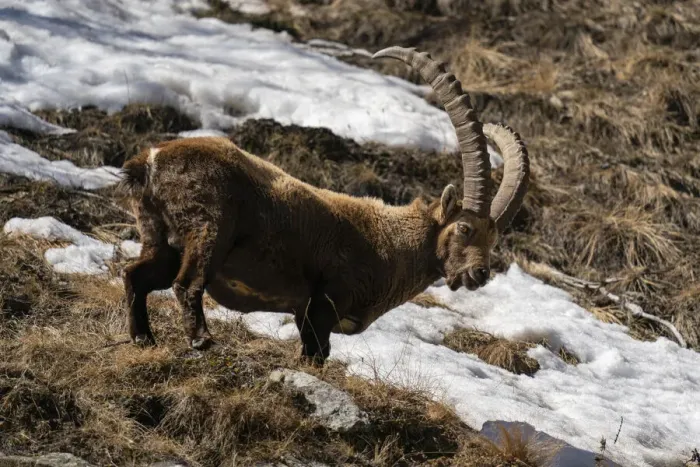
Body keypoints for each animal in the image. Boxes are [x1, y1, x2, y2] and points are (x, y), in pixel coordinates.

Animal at [119, 46, 530, 365]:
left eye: (494, 240)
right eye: (464, 227)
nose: (479, 275)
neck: (393, 242)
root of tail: (150, 161)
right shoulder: (321, 305)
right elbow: (314, 354)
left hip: (160, 235)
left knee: (135, 274)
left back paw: (144, 338)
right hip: (211, 227)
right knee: (186, 282)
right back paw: (201, 339)